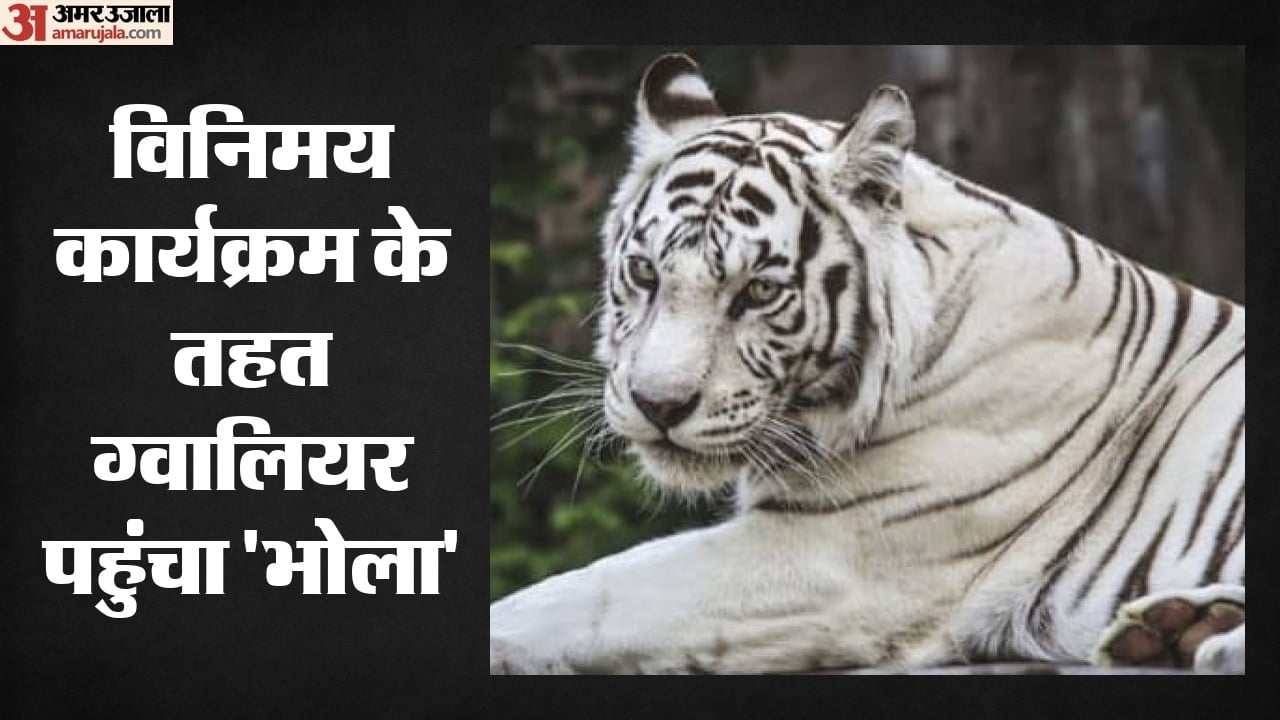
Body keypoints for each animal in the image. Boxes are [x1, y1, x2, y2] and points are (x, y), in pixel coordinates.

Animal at [489, 54, 1245, 674]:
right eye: (645, 273)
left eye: (758, 291)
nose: (659, 406)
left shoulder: (830, 556)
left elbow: (579, 598)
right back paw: (1176, 626)